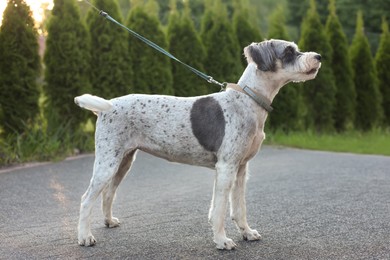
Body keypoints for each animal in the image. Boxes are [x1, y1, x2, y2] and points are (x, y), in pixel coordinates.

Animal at [74, 39, 322, 250]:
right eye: (288, 52)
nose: (318, 56)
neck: (247, 101)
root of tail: (108, 106)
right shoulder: (226, 168)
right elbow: (220, 210)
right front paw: (222, 241)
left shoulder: (241, 169)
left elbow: (239, 208)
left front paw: (247, 233)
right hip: (107, 163)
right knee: (86, 199)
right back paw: (85, 237)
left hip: (123, 161)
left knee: (108, 193)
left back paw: (109, 221)